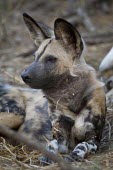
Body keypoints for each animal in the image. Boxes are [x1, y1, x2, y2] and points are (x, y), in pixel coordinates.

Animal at [20, 13, 106, 161]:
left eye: (51, 59)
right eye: (34, 57)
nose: (23, 75)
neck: (71, 98)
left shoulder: (94, 139)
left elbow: (82, 145)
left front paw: (74, 155)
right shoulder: (59, 133)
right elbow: (52, 143)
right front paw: (47, 155)